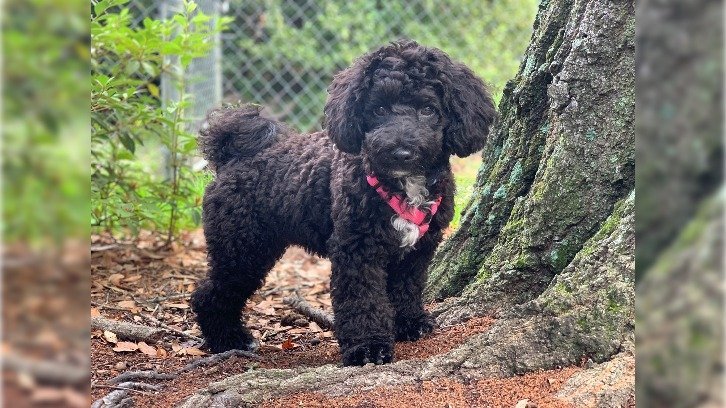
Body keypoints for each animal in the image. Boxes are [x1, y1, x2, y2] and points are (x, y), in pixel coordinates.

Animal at [193, 40, 498, 366]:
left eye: (428, 110)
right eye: (378, 108)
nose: (401, 152)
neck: (403, 185)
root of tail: (233, 156)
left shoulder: (416, 252)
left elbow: (406, 289)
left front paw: (409, 323)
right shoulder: (357, 249)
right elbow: (363, 300)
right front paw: (367, 347)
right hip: (242, 247)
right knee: (209, 295)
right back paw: (229, 339)